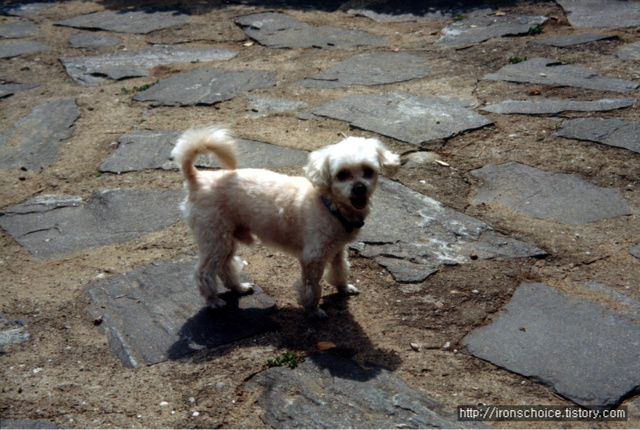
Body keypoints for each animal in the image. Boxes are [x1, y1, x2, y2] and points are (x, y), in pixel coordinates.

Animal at [171, 126, 400, 318]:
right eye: (342, 175)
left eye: (368, 171)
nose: (360, 188)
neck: (329, 204)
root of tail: (197, 178)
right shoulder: (313, 257)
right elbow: (311, 286)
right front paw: (313, 310)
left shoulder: (337, 248)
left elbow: (340, 269)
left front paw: (343, 288)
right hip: (214, 237)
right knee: (204, 272)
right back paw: (212, 300)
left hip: (225, 238)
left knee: (224, 265)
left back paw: (238, 287)